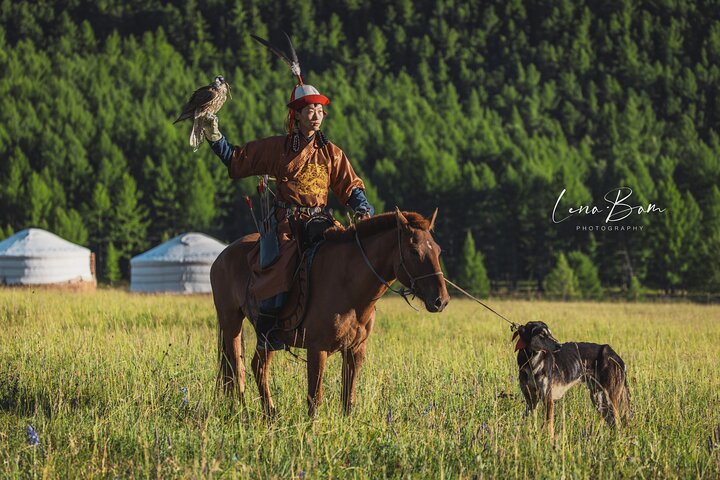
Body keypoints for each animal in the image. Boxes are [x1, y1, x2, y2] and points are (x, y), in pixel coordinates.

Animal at [210, 209, 449, 416]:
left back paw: (270, 415)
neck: (349, 285)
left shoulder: (355, 350)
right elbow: (314, 398)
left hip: (266, 338)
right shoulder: (317, 349)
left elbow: (348, 397)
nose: (441, 301)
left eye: (438, 250)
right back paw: (243, 413)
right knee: (237, 368)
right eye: (414, 251)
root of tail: (222, 255)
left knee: (257, 367)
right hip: (231, 322)